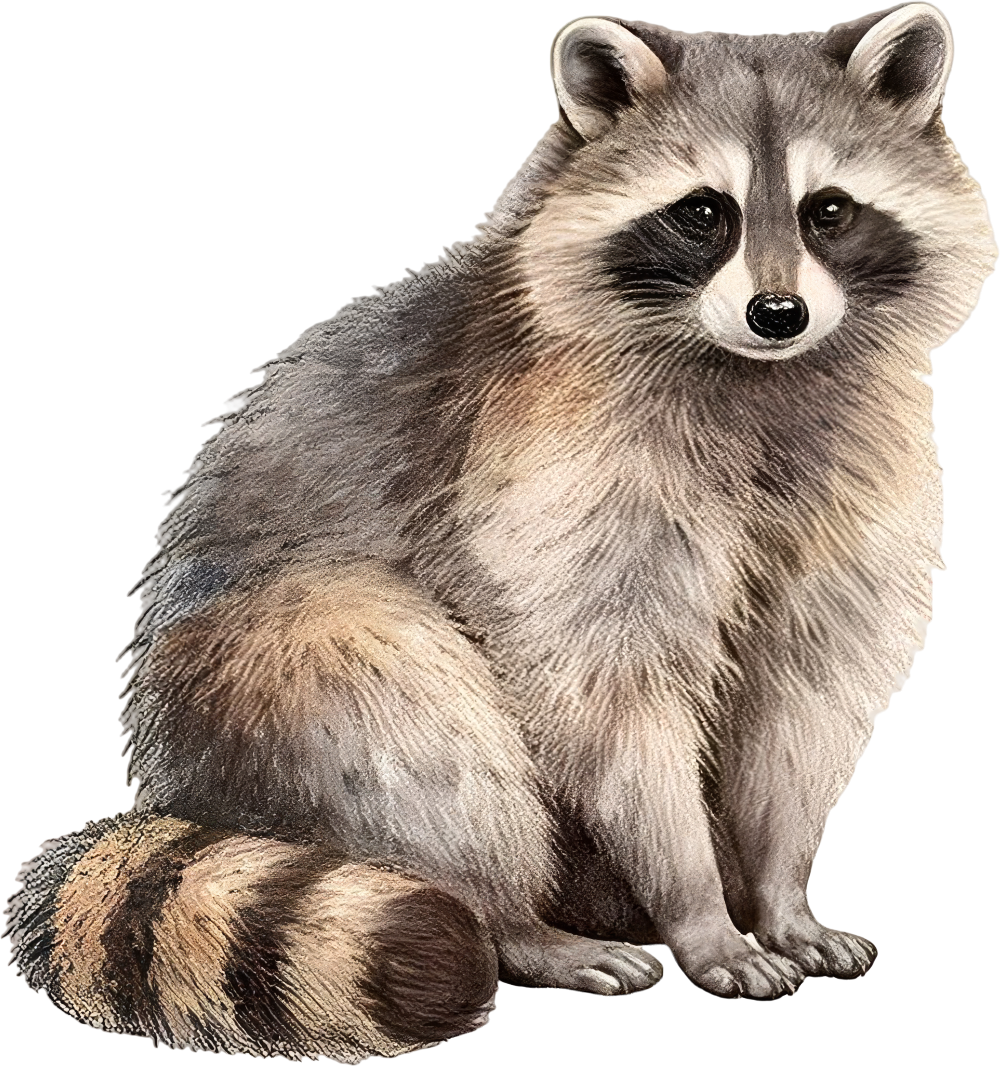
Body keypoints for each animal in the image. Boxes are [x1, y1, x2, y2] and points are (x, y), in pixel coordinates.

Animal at [7, 3, 997, 1061]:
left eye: (830, 212)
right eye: (703, 213)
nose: (780, 313)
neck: (755, 374)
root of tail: (175, 790)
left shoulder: (860, 481)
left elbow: (806, 693)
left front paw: (780, 896)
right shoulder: (546, 463)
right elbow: (609, 697)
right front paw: (699, 912)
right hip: (268, 676)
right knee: (399, 700)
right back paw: (515, 923)